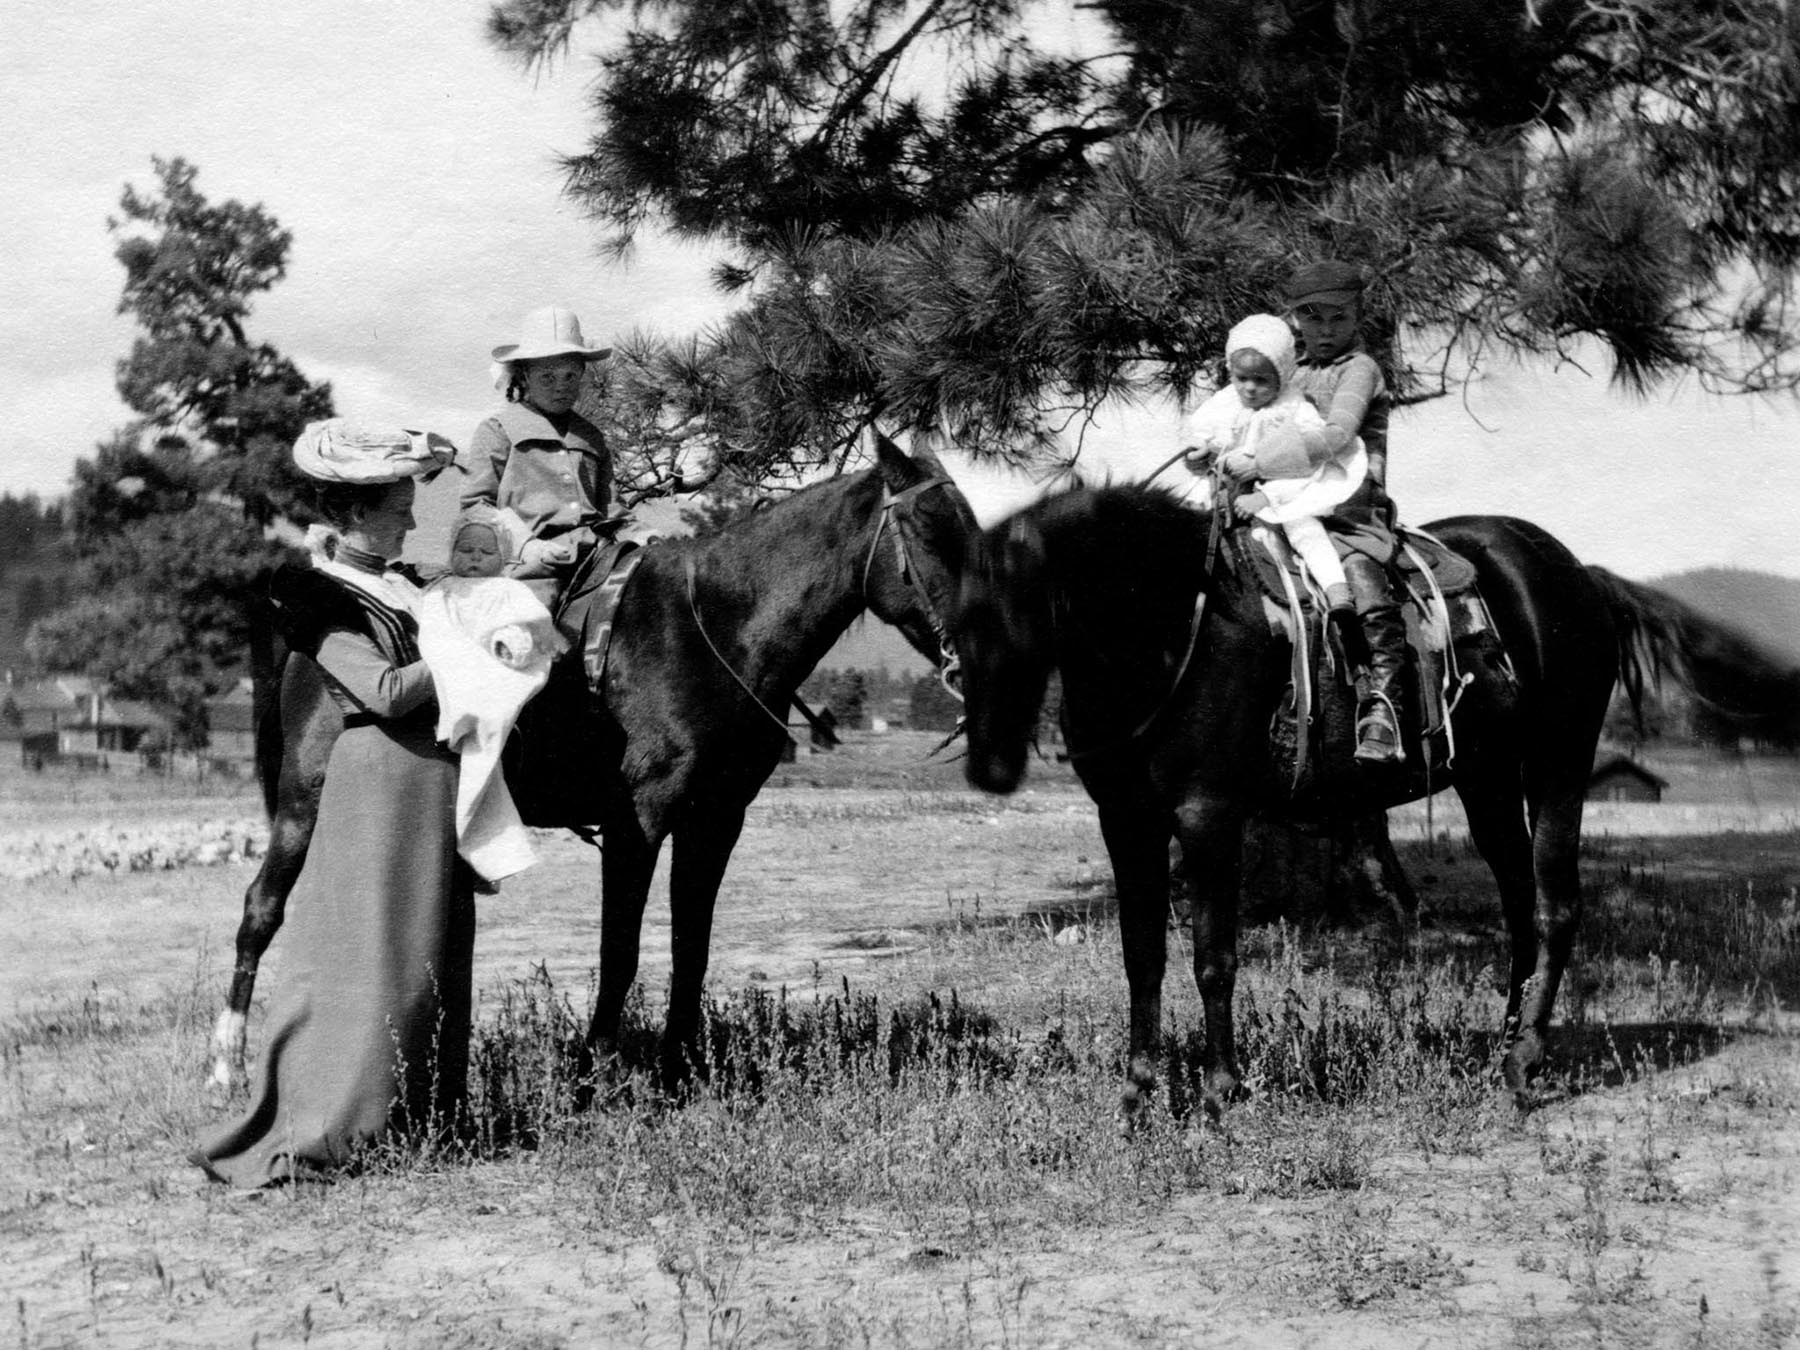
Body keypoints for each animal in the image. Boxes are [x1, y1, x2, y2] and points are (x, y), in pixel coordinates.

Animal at [210, 435, 979, 1089]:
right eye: (930, 531)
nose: (974, 652)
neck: (711, 628)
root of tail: (307, 632)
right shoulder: (639, 817)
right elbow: (622, 947)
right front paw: (595, 1075)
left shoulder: (716, 818)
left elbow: (691, 945)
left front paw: (680, 1069)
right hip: (302, 802)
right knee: (260, 910)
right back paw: (228, 1068)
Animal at [951, 483, 1800, 1119]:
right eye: (954, 626)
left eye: (1017, 613)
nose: (990, 766)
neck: (1174, 628)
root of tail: (1581, 575)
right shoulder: (1126, 821)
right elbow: (1143, 958)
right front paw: (1137, 1097)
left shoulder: (1207, 815)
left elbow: (1213, 958)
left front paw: (1221, 1094)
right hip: (1488, 782)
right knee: (1521, 908)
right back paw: (1502, 1047)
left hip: (1558, 768)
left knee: (1557, 906)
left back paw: (1526, 1062)